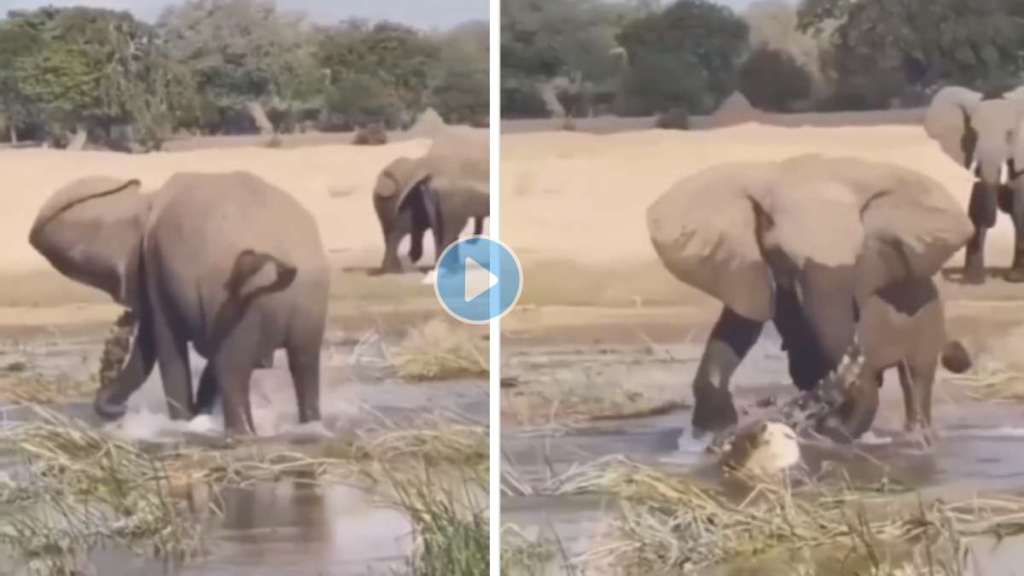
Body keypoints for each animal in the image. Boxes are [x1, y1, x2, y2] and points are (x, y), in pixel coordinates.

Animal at [29, 172, 327, 432]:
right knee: (304, 365)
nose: (118, 411)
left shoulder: (155, 264)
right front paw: (198, 416)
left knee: (233, 372)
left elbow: (163, 346)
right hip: (303, 304)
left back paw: (240, 433)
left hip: (246, 307)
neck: (146, 202)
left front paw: (184, 422)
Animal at [647, 154, 974, 440]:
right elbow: (739, 328)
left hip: (927, 317)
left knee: (917, 377)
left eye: (860, 256)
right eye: (781, 256)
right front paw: (710, 434)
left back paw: (917, 438)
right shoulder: (746, 266)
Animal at [921, 85, 1024, 282]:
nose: (1004, 188)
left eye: (1009, 134)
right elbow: (977, 201)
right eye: (974, 133)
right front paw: (973, 279)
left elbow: (1019, 204)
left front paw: (1016, 278)